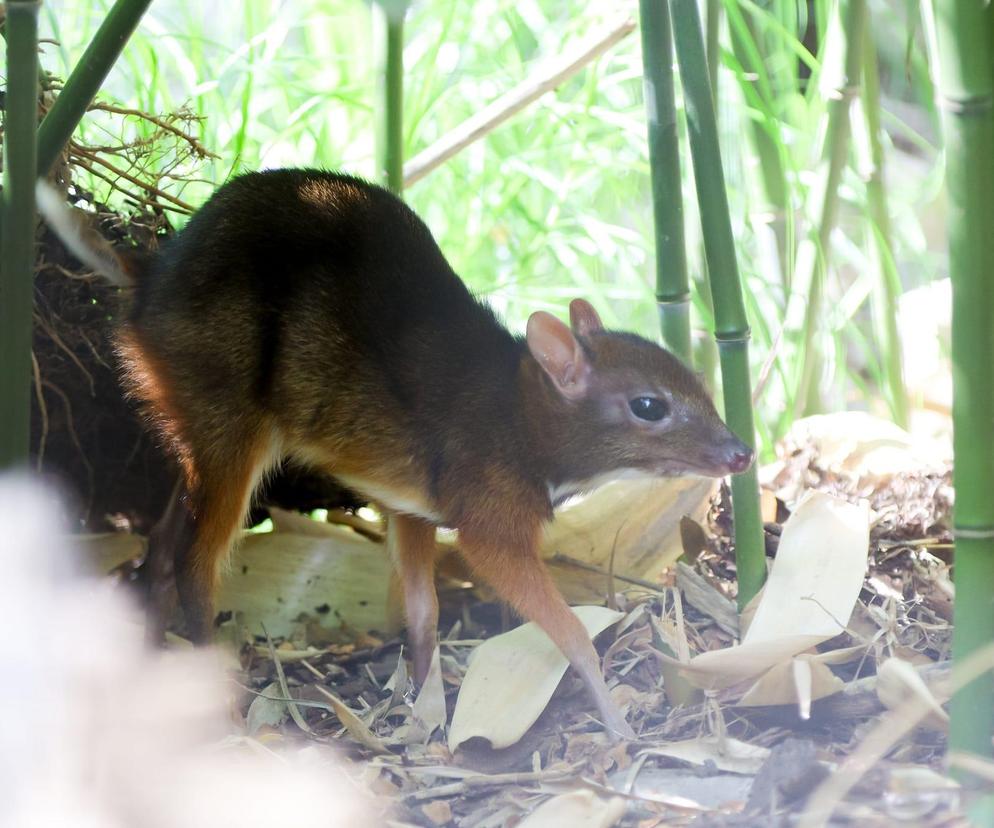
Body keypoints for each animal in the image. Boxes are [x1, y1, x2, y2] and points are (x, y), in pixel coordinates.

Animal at [40, 171, 752, 740]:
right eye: (649, 405)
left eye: (696, 380)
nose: (741, 453)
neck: (519, 417)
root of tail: (149, 273)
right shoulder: (490, 524)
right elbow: (571, 630)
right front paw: (615, 722)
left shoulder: (410, 506)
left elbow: (424, 612)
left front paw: (422, 708)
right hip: (226, 423)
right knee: (193, 564)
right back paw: (223, 705)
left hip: (188, 429)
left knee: (159, 551)